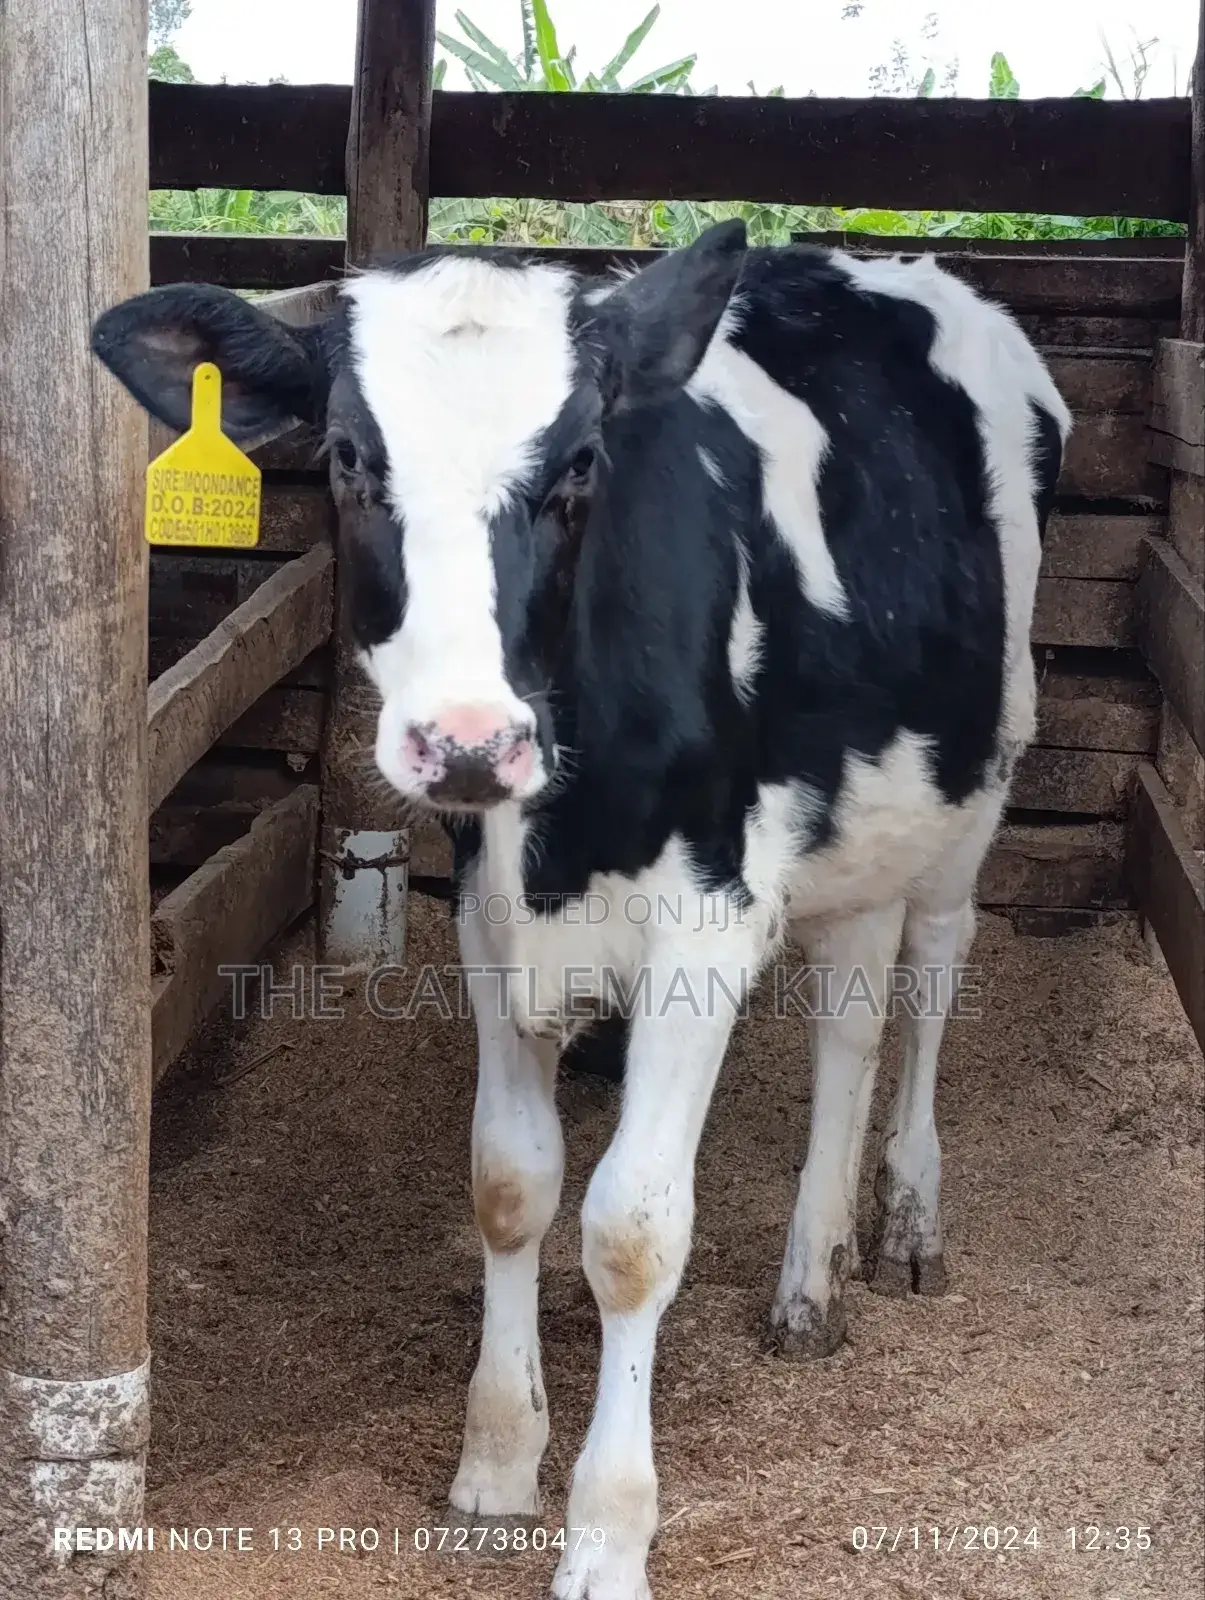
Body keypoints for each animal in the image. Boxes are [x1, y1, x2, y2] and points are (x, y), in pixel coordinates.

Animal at [92, 221, 1069, 1600]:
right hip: (854, 822)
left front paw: (606, 1532)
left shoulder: (706, 928)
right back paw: (809, 1279)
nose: (464, 740)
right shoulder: (488, 922)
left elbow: (631, 1232)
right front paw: (497, 1461)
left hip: (978, 773)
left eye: (580, 464)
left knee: (926, 981)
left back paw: (906, 1221)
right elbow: (511, 1184)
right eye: (347, 457)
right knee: (848, 1019)